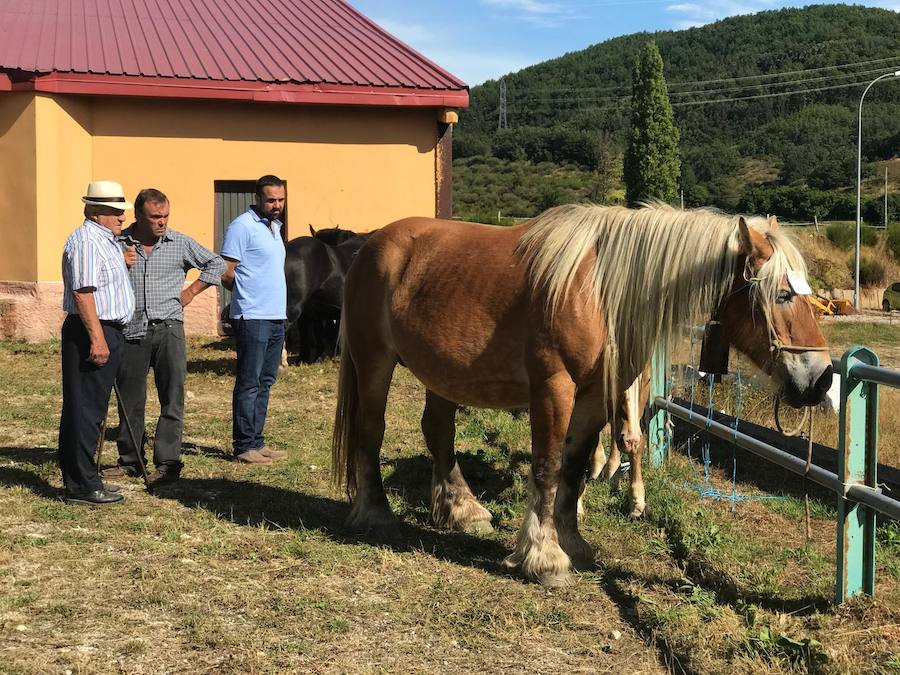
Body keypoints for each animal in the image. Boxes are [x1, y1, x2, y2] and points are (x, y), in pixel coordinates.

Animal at [334, 205, 832, 588]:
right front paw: (544, 558)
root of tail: (371, 246)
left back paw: (461, 510)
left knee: (438, 431)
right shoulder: (554, 387)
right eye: (783, 295)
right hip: (374, 362)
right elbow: (548, 464)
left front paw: (573, 544)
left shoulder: (593, 399)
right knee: (370, 431)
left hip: (442, 376)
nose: (822, 379)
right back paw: (376, 515)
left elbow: (574, 469)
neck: (598, 291)